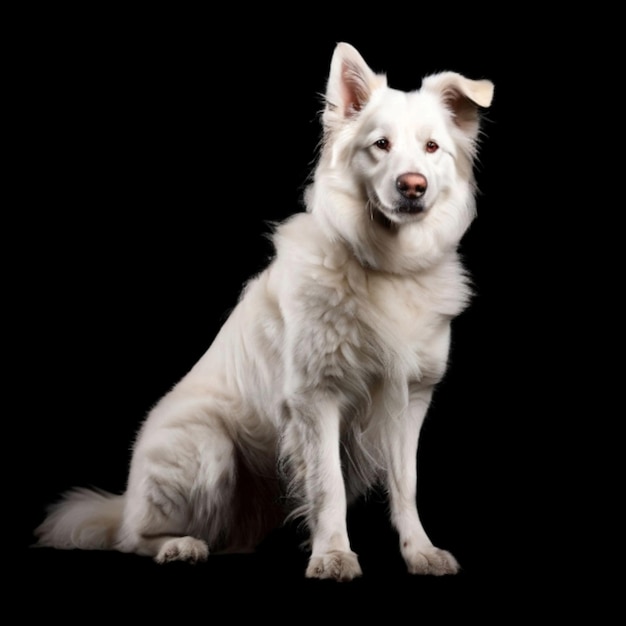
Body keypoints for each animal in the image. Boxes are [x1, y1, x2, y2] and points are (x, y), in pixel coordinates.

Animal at [35, 42, 492, 580]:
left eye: (432, 148)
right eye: (380, 145)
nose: (413, 186)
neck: (386, 267)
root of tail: (124, 502)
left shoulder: (409, 401)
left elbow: (406, 485)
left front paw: (419, 551)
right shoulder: (315, 399)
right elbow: (328, 487)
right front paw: (333, 556)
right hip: (207, 448)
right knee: (132, 537)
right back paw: (178, 545)